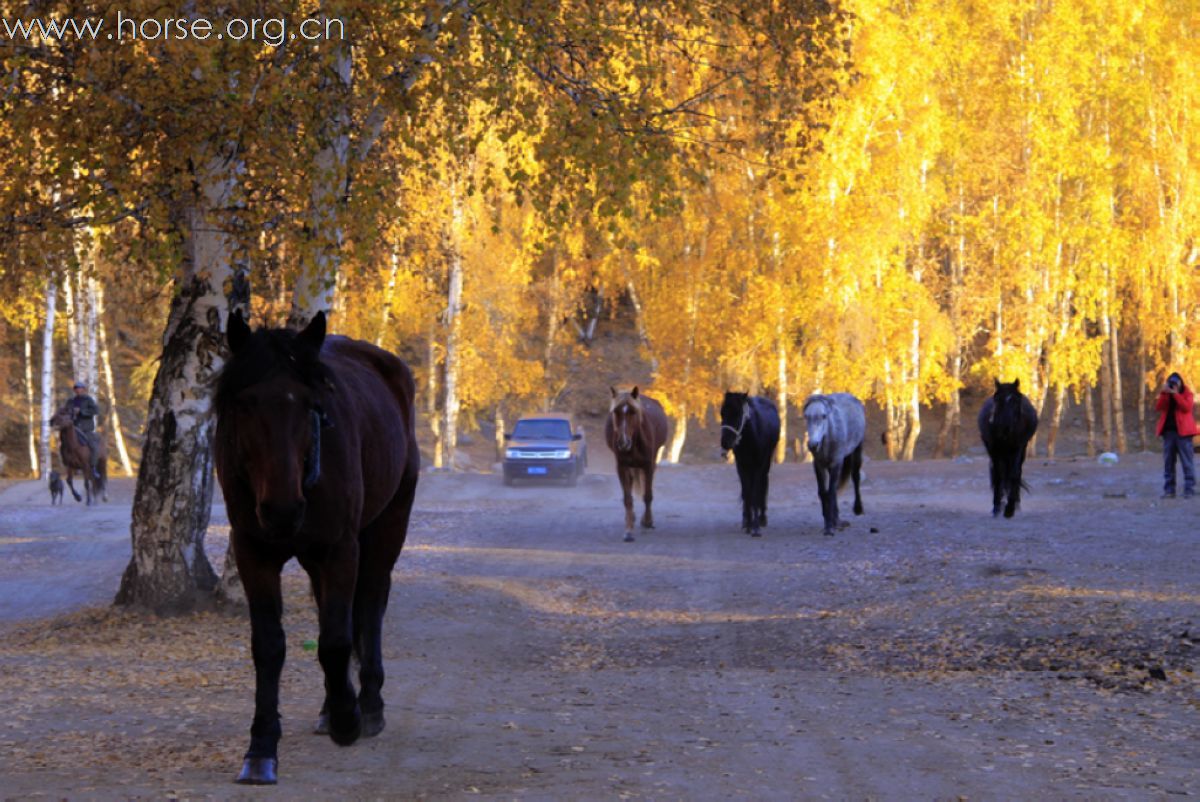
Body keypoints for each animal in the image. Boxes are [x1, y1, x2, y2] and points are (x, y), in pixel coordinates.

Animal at [216, 309, 422, 787]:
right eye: (245, 403)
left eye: (311, 404)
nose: (282, 510)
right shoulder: (253, 553)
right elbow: (269, 646)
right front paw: (261, 748)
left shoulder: (340, 549)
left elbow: (336, 639)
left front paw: (349, 719)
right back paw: (331, 706)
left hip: (387, 527)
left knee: (368, 607)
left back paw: (367, 706)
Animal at [604, 384, 672, 542]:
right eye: (615, 411)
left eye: (633, 412)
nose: (623, 443)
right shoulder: (622, 467)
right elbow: (628, 499)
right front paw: (628, 530)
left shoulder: (648, 466)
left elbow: (647, 495)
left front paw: (647, 521)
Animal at [715, 391, 782, 535]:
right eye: (722, 413)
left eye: (738, 413)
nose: (725, 442)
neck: (750, 439)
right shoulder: (741, 465)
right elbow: (747, 492)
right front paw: (748, 523)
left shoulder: (758, 465)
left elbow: (755, 492)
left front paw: (755, 526)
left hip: (765, 463)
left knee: (763, 484)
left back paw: (762, 518)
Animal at [806, 393, 864, 535]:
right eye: (806, 416)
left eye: (824, 416)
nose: (813, 445)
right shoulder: (819, 465)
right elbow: (823, 492)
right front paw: (829, 522)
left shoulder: (836, 463)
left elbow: (831, 492)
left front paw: (830, 528)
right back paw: (837, 520)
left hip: (857, 450)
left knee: (855, 477)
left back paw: (858, 508)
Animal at [979, 379, 1036, 516]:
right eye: (997, 399)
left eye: (1015, 401)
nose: (1005, 427)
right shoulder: (994, 449)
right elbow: (998, 475)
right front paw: (996, 506)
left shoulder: (1018, 448)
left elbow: (1014, 475)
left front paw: (1010, 508)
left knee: (1016, 473)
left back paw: (1016, 503)